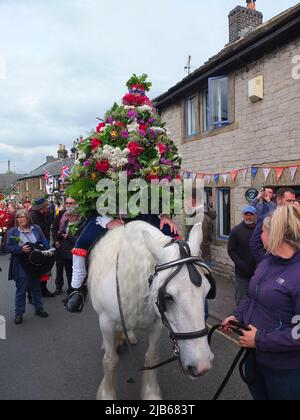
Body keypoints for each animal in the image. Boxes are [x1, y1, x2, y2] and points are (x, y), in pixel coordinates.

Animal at [88, 220, 214, 400]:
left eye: (207, 290)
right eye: (168, 296)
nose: (202, 365)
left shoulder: (157, 324)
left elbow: (152, 358)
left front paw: (150, 392)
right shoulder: (106, 321)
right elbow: (110, 360)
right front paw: (107, 394)